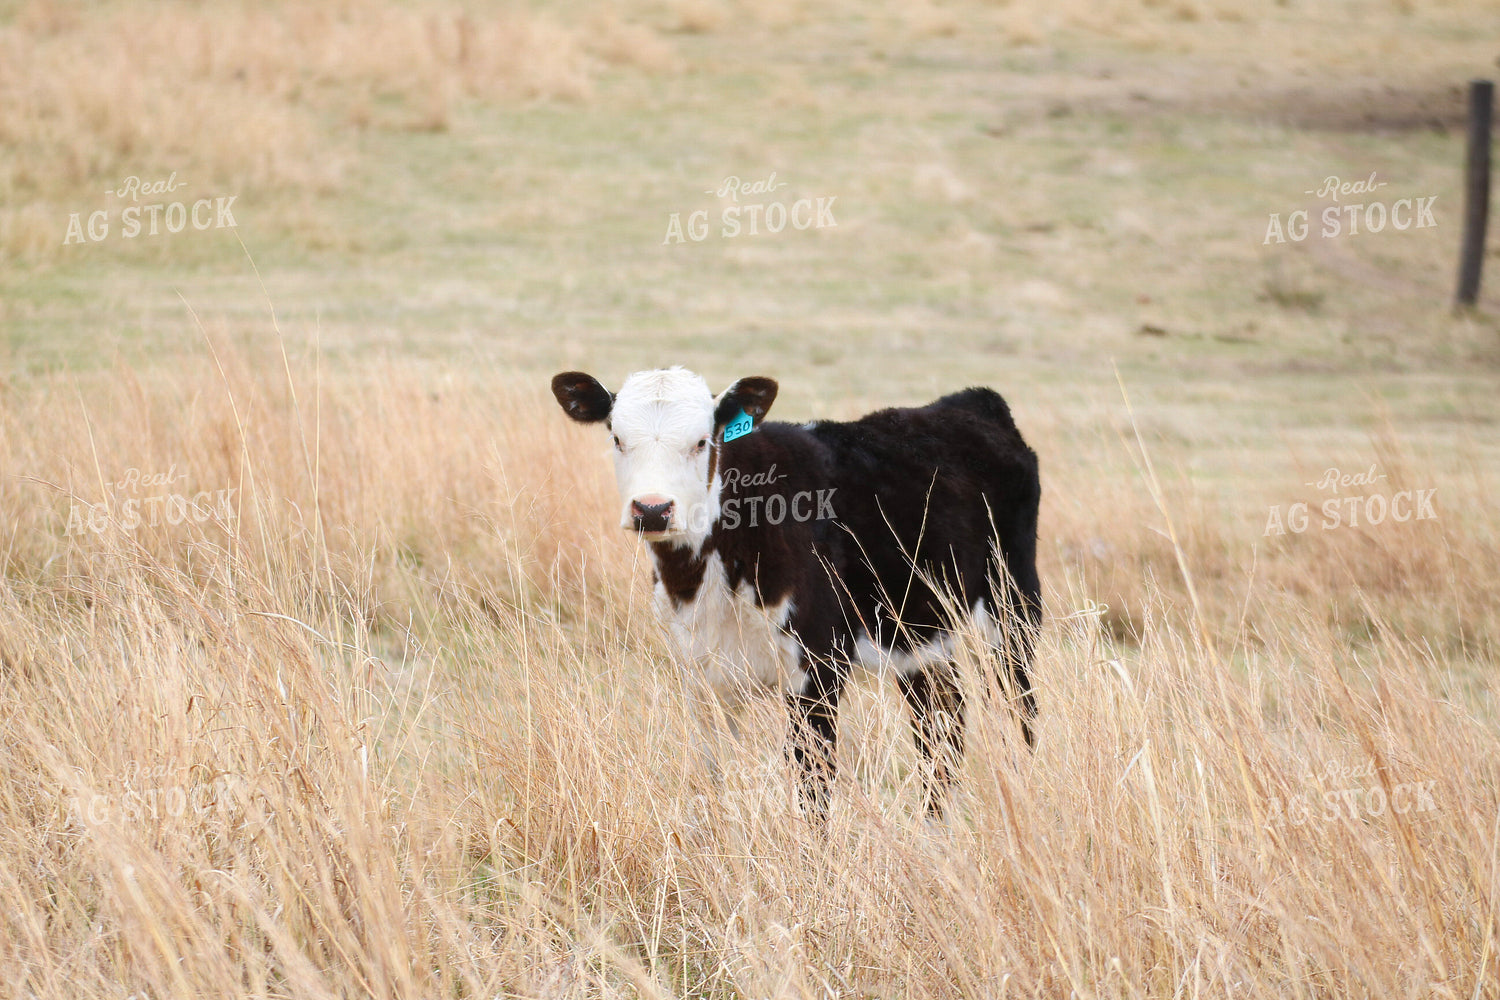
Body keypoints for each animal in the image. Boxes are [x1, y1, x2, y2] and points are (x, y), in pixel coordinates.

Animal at [550, 366, 1041, 818]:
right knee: (941, 730)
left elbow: (812, 791)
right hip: (922, 634)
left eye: (702, 442)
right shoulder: (700, 675)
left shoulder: (819, 669)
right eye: (617, 438)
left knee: (1019, 712)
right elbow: (712, 780)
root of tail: (970, 402)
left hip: (1012, 610)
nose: (652, 509)